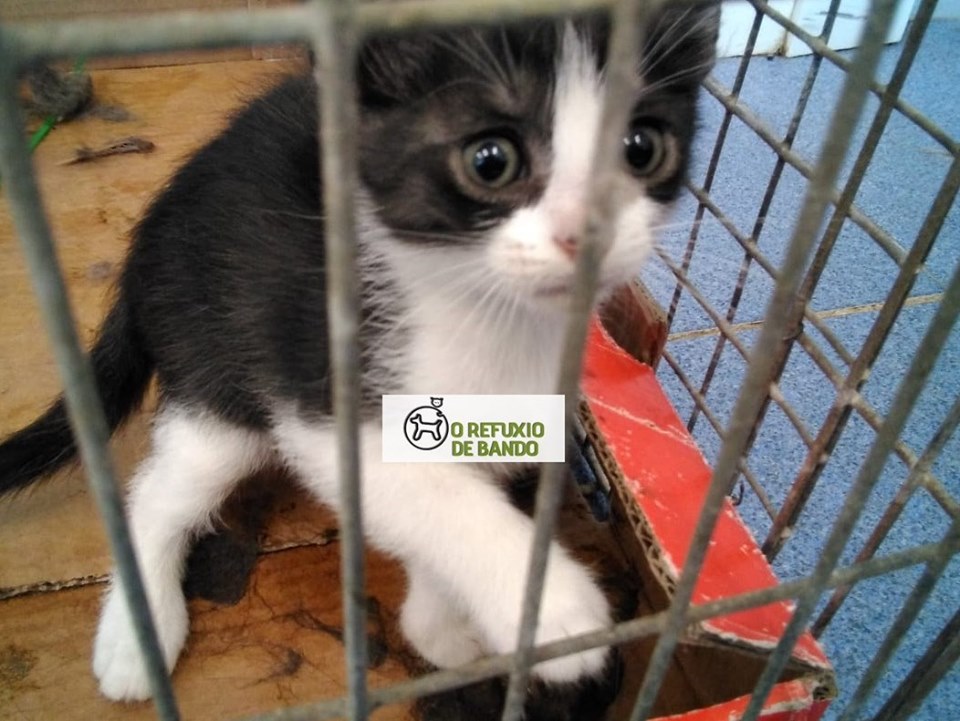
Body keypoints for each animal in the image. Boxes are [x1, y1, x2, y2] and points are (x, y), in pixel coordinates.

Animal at [0, 1, 719, 706]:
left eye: (642, 147)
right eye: (490, 160)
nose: (588, 231)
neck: (489, 311)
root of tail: (148, 235)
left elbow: (436, 508)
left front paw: (439, 627)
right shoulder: (322, 396)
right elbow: (438, 497)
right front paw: (551, 610)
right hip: (217, 370)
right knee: (157, 492)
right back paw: (135, 639)